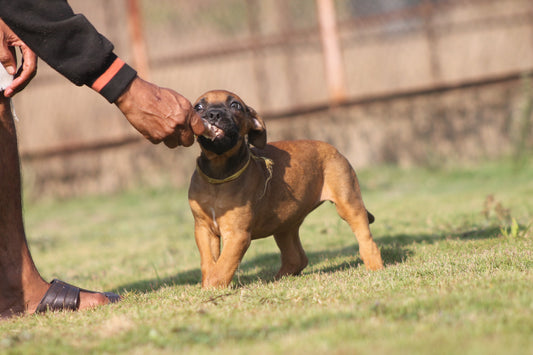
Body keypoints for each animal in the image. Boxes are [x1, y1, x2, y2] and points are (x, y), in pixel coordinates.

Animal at [188, 90, 382, 288]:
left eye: (235, 105)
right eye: (198, 107)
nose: (214, 114)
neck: (219, 174)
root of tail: (334, 149)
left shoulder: (237, 234)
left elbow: (223, 266)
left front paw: (212, 288)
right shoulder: (203, 229)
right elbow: (209, 263)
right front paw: (207, 286)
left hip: (348, 203)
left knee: (365, 237)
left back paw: (375, 267)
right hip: (284, 223)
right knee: (297, 257)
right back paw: (279, 278)